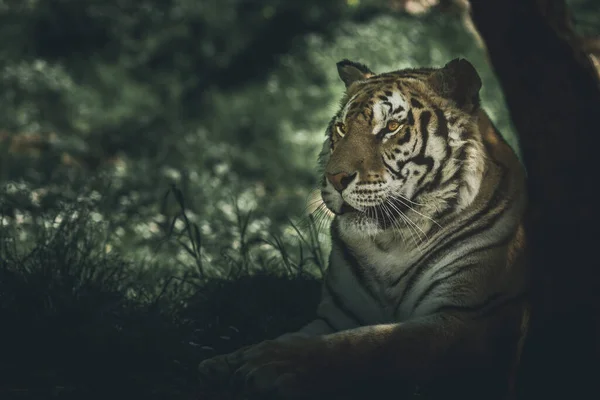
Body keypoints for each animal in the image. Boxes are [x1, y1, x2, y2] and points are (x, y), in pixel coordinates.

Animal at [198, 57, 528, 398]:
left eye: (392, 128)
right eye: (342, 128)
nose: (335, 178)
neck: (392, 243)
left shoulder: (472, 318)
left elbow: (366, 343)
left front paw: (266, 364)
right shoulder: (337, 315)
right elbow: (296, 336)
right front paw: (225, 361)